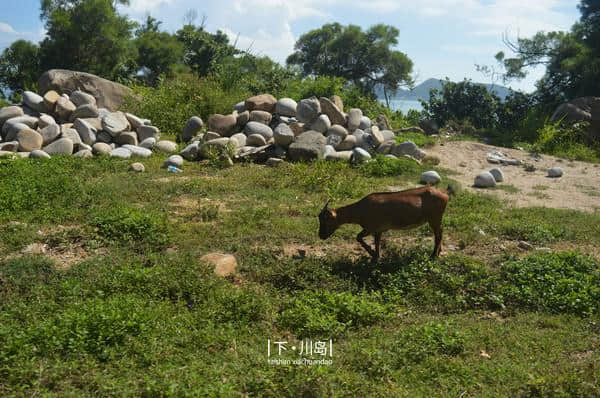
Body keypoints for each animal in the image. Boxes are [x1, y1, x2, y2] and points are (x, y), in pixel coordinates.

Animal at [318, 186, 450, 262]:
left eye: (326, 219)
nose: (321, 235)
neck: (361, 210)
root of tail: (444, 194)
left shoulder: (372, 228)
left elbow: (360, 238)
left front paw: (374, 255)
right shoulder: (377, 230)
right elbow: (372, 241)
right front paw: (375, 255)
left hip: (434, 218)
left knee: (439, 234)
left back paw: (433, 256)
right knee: (439, 233)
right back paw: (438, 252)